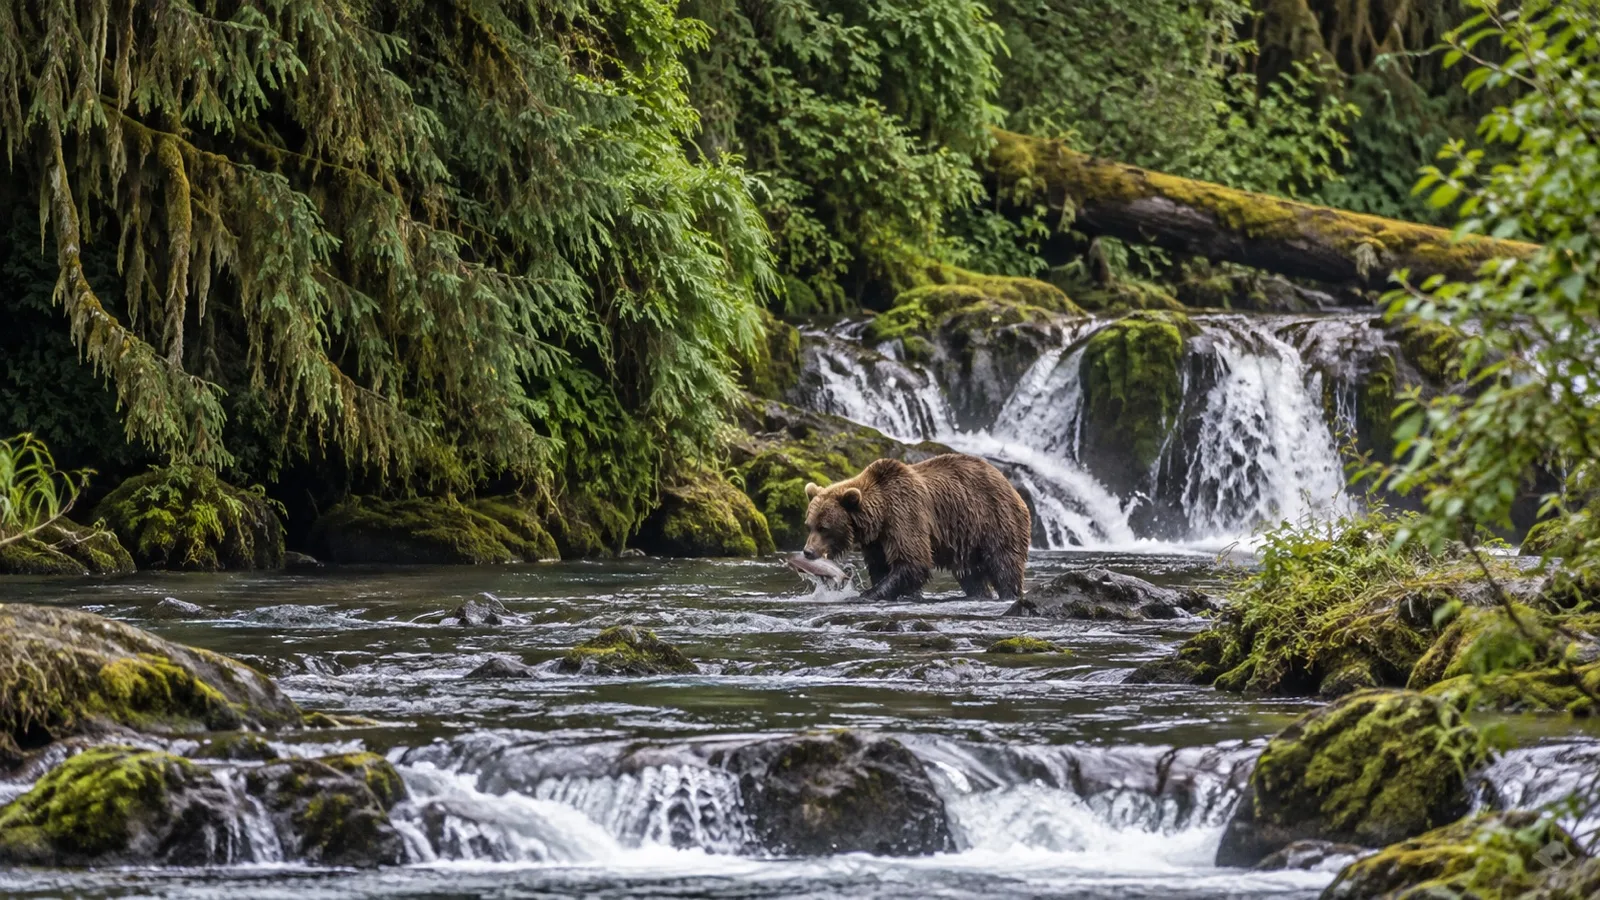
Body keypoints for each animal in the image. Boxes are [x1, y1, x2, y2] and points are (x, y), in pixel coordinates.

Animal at [802, 453, 1031, 601]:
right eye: (809, 526)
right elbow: (881, 567)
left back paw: (1009, 594)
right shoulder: (877, 541)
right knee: (970, 575)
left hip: (995, 521)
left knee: (1004, 566)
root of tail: (1010, 486)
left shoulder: (905, 515)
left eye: (824, 527)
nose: (808, 551)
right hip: (966, 541)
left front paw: (865, 594)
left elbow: (913, 562)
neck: (880, 516)